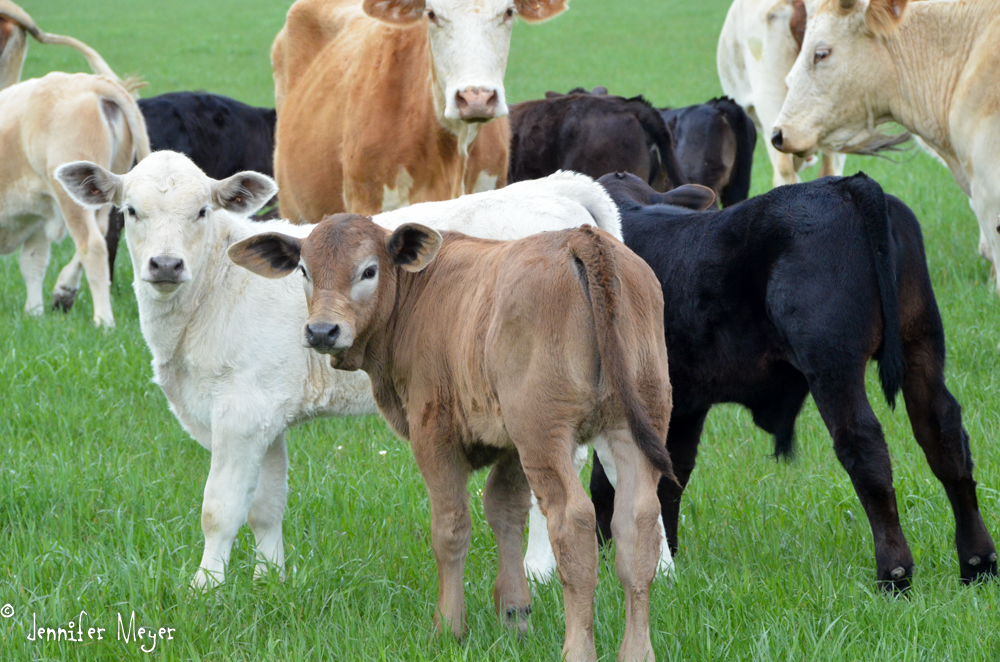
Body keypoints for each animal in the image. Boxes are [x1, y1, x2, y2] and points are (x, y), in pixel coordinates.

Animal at [230, 215, 676, 660]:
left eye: (369, 271)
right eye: (304, 271)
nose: (322, 331)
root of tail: (581, 237)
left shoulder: (434, 435)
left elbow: (450, 528)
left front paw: (448, 627)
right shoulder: (510, 446)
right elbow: (504, 511)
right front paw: (515, 616)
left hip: (544, 434)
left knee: (574, 521)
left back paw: (577, 650)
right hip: (632, 425)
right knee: (636, 526)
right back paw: (638, 651)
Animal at [588, 171, 996, 592]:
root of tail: (847, 185)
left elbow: (609, 481)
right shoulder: (688, 401)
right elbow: (671, 473)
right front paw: (664, 559)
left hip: (832, 363)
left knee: (863, 444)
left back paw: (894, 571)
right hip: (921, 345)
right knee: (942, 432)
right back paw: (977, 561)